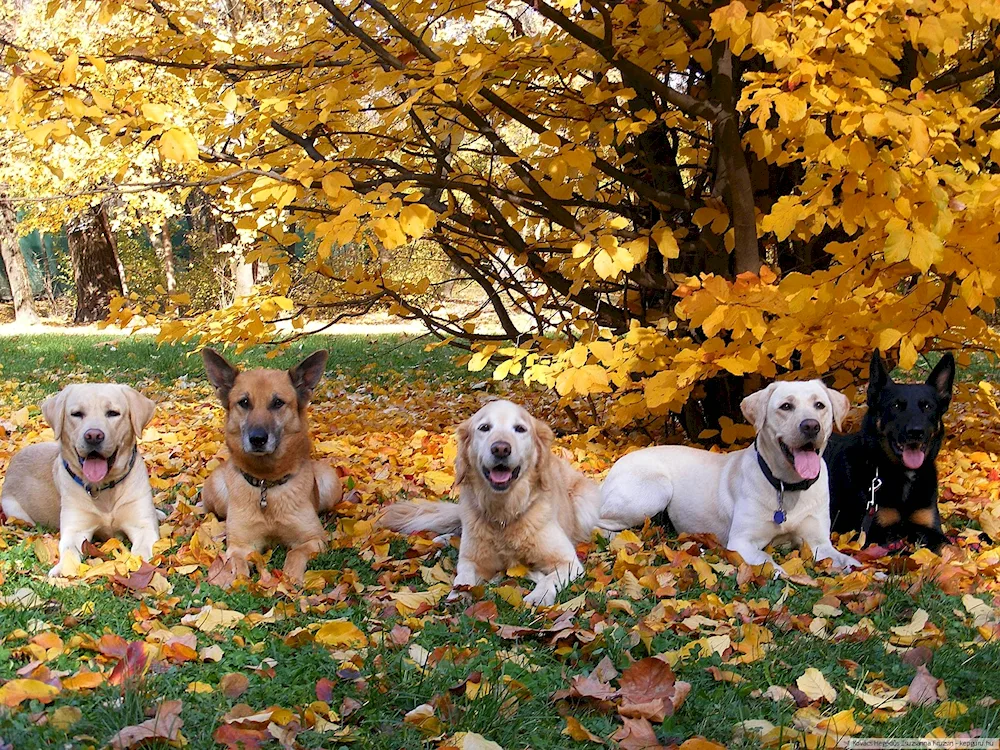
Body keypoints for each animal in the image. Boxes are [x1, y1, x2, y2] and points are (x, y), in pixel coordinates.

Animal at [0, 384, 158, 580]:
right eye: (77, 414)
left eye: (113, 413)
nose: (93, 435)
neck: (103, 489)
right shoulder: (76, 529)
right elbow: (69, 550)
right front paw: (63, 569)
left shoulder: (143, 525)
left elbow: (141, 550)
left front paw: (138, 564)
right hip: (13, 509)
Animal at [202, 350, 344, 584]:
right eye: (244, 402)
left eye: (278, 403)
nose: (257, 439)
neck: (266, 484)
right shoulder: (241, 546)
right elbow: (237, 562)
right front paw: (237, 579)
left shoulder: (314, 539)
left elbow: (295, 553)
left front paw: (290, 579)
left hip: (330, 483)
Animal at [382, 402, 600, 608]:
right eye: (484, 427)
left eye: (520, 429)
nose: (501, 448)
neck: (504, 512)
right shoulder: (472, 561)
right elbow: (463, 576)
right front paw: (458, 594)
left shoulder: (568, 562)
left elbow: (548, 579)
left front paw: (539, 595)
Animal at [600, 382, 860, 576]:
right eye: (786, 406)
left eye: (820, 405)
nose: (811, 426)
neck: (787, 486)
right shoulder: (742, 541)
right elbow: (765, 558)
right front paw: (778, 571)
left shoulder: (818, 541)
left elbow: (838, 556)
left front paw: (856, 566)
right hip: (655, 490)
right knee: (600, 523)